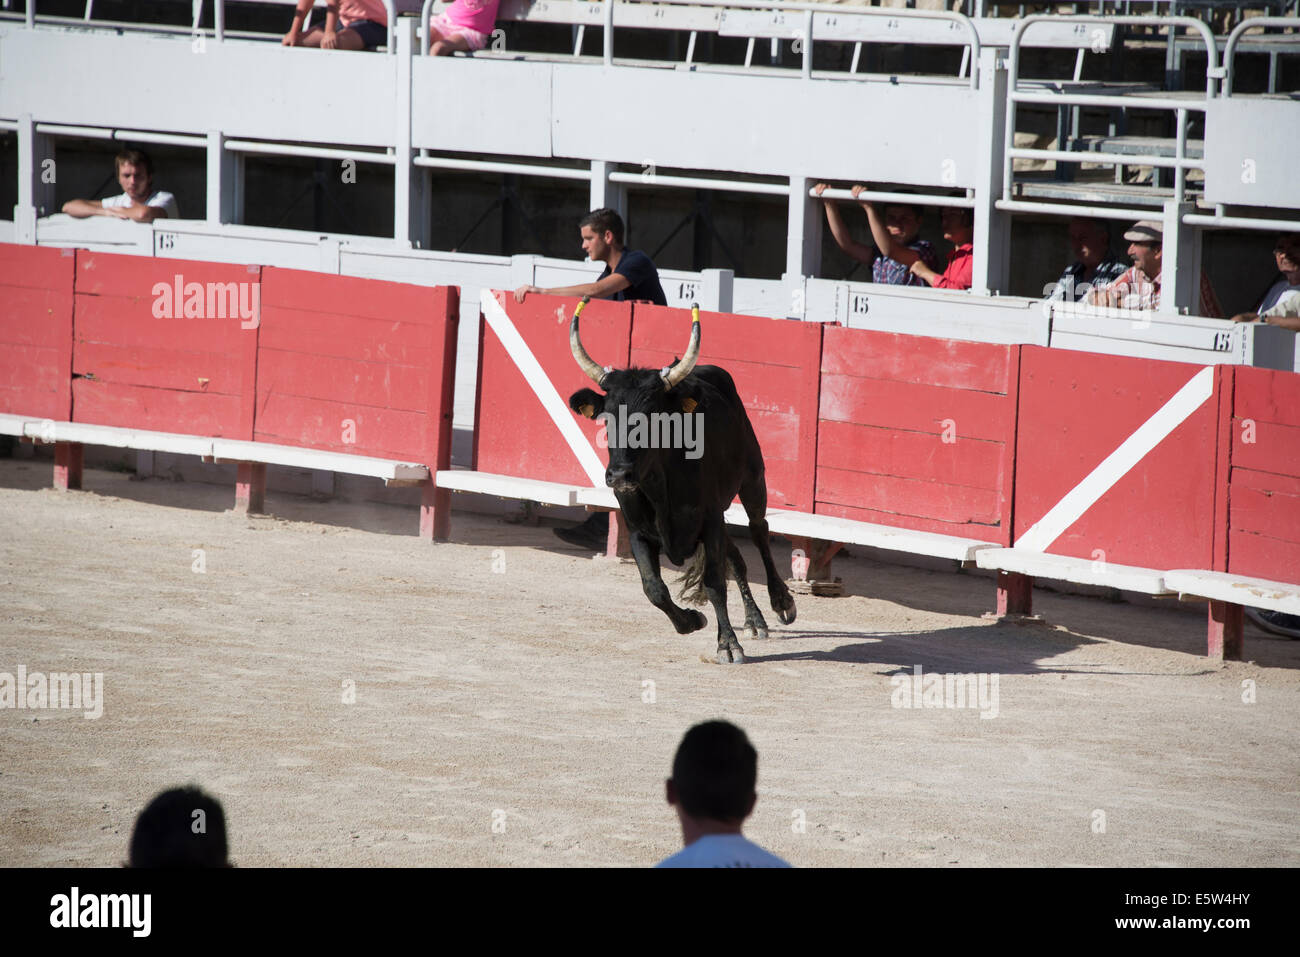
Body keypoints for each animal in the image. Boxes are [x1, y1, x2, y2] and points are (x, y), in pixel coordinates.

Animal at [566, 302, 790, 660]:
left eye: (654, 418)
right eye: (607, 417)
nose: (619, 475)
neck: (659, 486)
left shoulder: (710, 520)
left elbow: (714, 583)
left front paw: (728, 644)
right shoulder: (639, 531)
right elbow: (653, 588)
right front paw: (691, 620)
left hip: (754, 479)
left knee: (759, 530)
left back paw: (781, 602)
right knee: (737, 558)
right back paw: (754, 620)